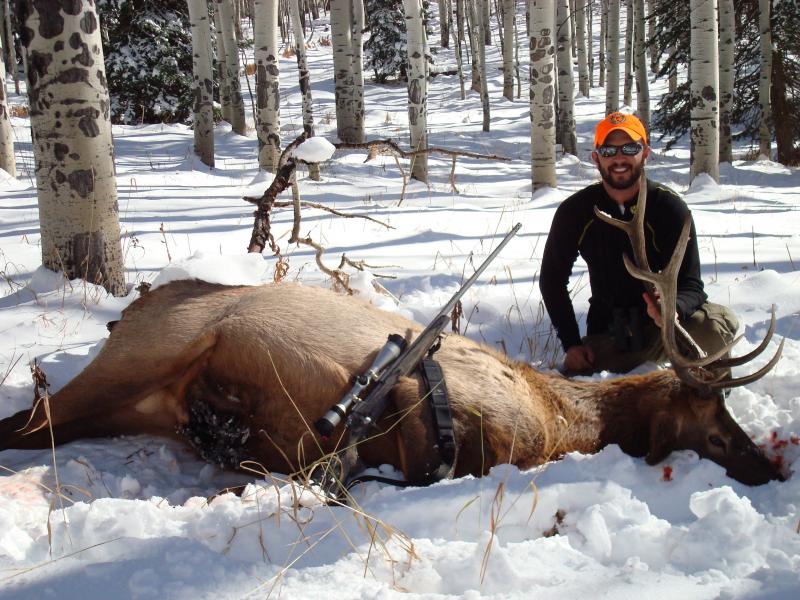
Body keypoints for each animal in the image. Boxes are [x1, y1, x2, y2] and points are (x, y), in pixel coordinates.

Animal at [0, 184, 788, 488]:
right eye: (716, 431)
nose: (773, 468)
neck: (567, 418)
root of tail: (127, 311)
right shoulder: (455, 421)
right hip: (147, 353)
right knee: (26, 421)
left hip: (137, 398)